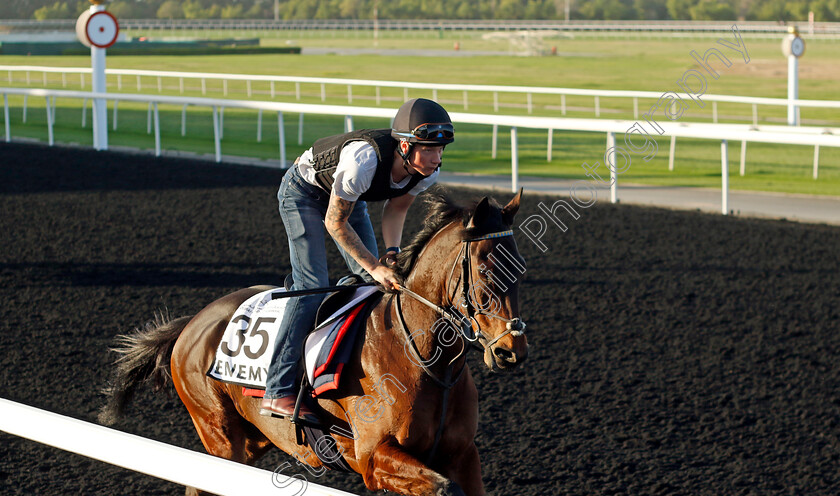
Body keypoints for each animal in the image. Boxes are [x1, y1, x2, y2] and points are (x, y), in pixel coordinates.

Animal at [98, 190, 528, 496]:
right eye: (487, 270)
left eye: (520, 268)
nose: (512, 350)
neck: (424, 360)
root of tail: (193, 322)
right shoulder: (374, 455)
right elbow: (445, 488)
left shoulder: (462, 453)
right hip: (219, 433)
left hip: (253, 439)